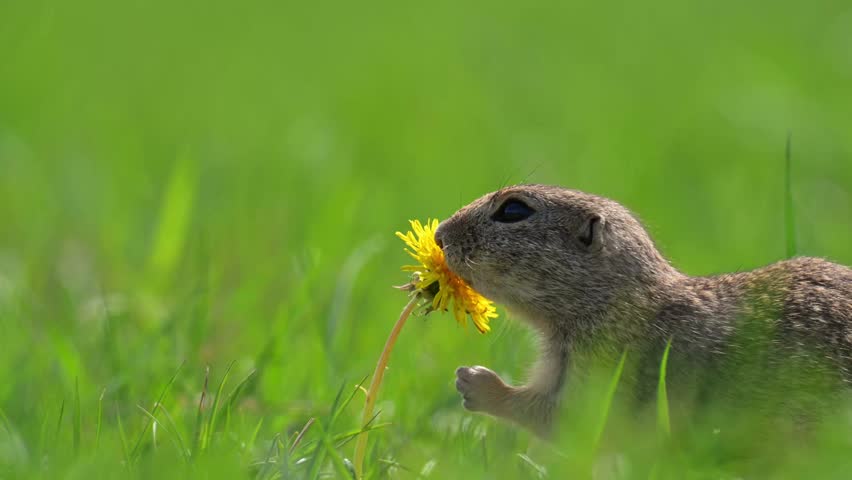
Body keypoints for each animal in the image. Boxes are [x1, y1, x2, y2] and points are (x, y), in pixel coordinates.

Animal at [434, 184, 852, 436]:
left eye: (513, 210)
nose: (439, 234)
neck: (615, 299)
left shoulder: (609, 366)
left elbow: (566, 418)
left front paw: (476, 383)